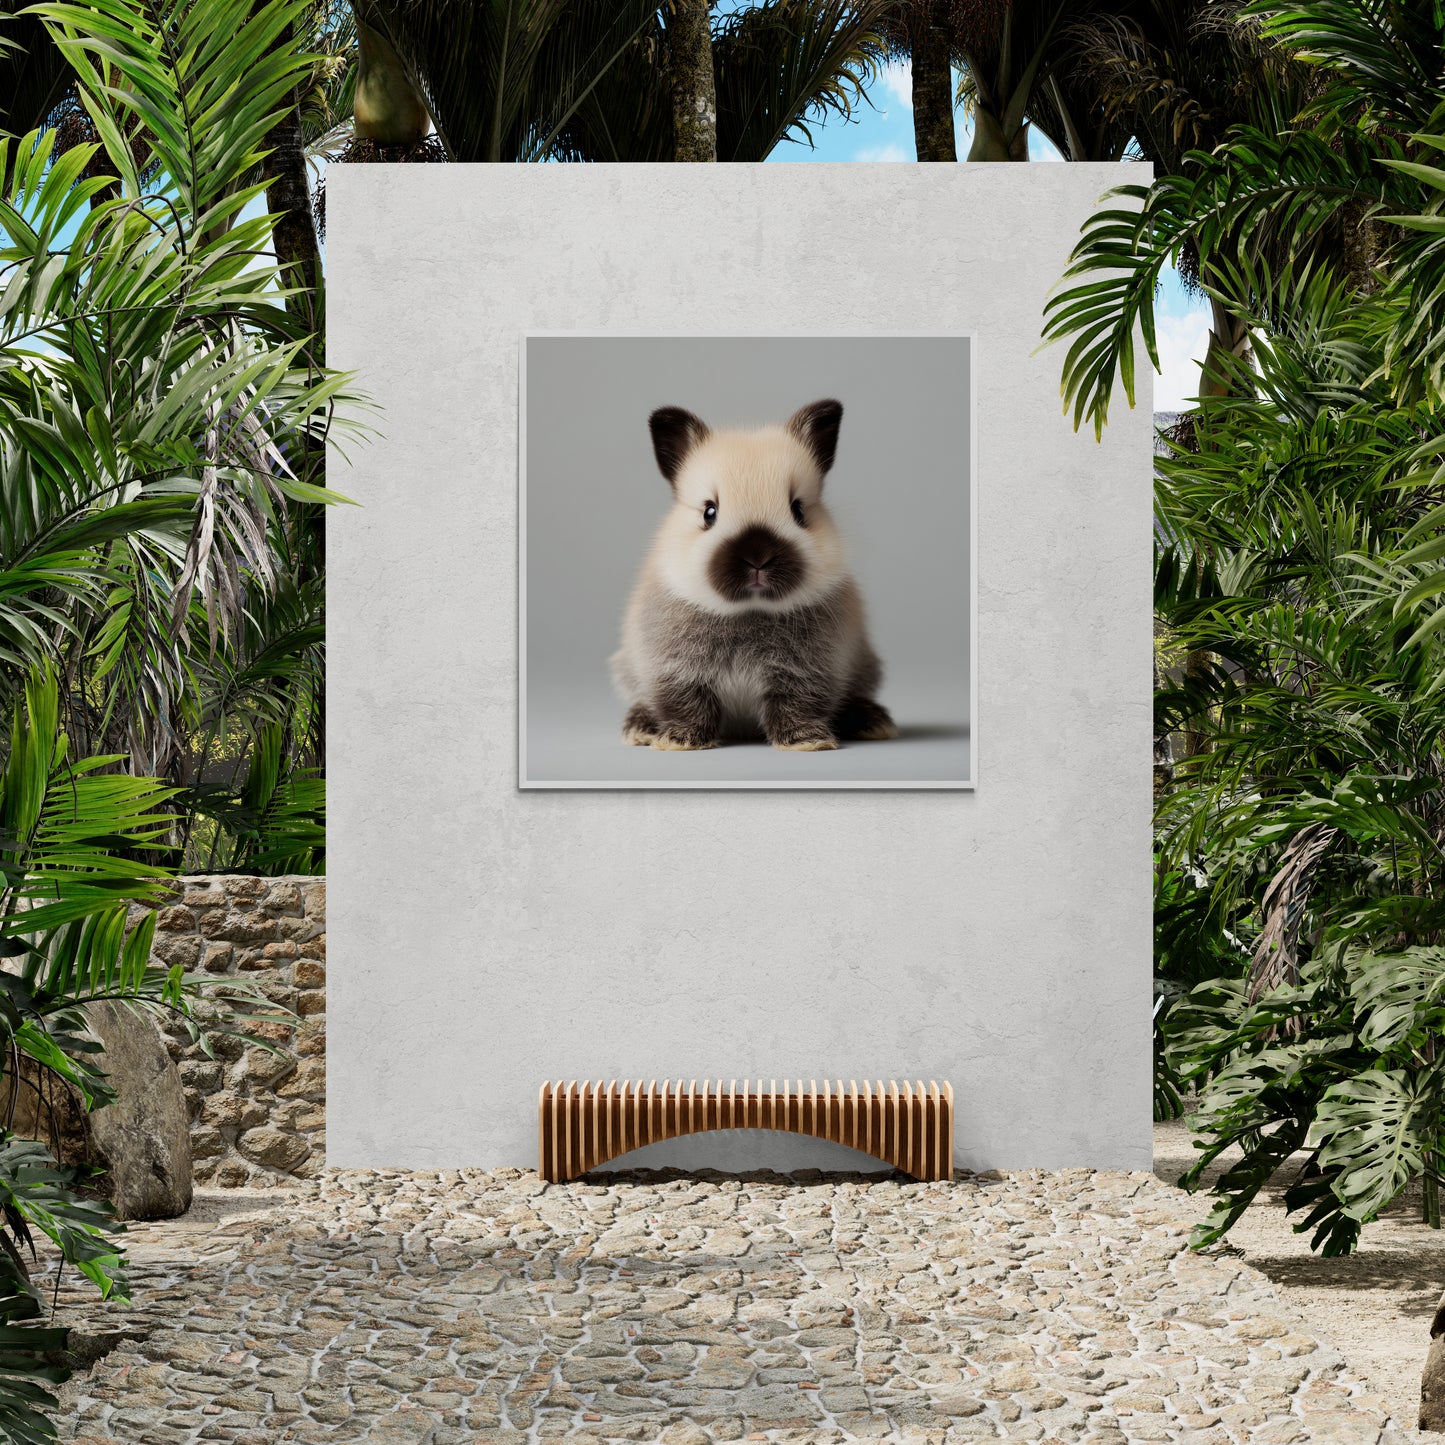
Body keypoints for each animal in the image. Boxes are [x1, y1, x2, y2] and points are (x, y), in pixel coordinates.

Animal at [611, 398, 898, 752]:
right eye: (709, 512)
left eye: (798, 510)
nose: (758, 556)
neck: (749, 612)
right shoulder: (674, 670)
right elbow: (687, 704)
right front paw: (680, 740)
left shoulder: (808, 672)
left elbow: (795, 704)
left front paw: (806, 741)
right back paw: (640, 728)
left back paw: (873, 722)